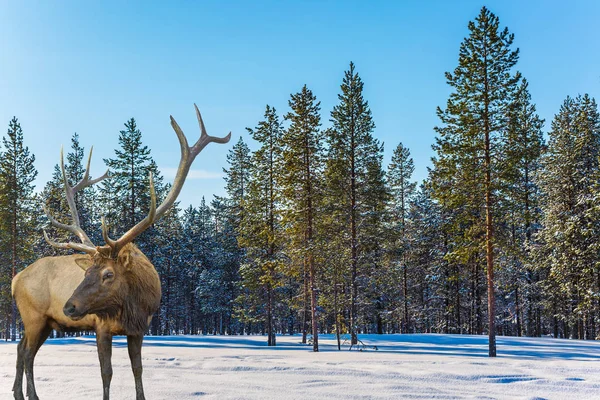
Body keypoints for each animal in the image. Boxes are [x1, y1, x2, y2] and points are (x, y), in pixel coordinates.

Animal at [12, 104, 232, 398]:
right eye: (86, 273)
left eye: (108, 274)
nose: (69, 306)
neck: (132, 305)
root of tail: (15, 280)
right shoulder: (101, 326)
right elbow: (106, 373)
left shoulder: (139, 329)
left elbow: (138, 369)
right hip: (33, 316)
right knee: (26, 352)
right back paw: (31, 394)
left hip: (44, 322)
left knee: (21, 348)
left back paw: (19, 392)